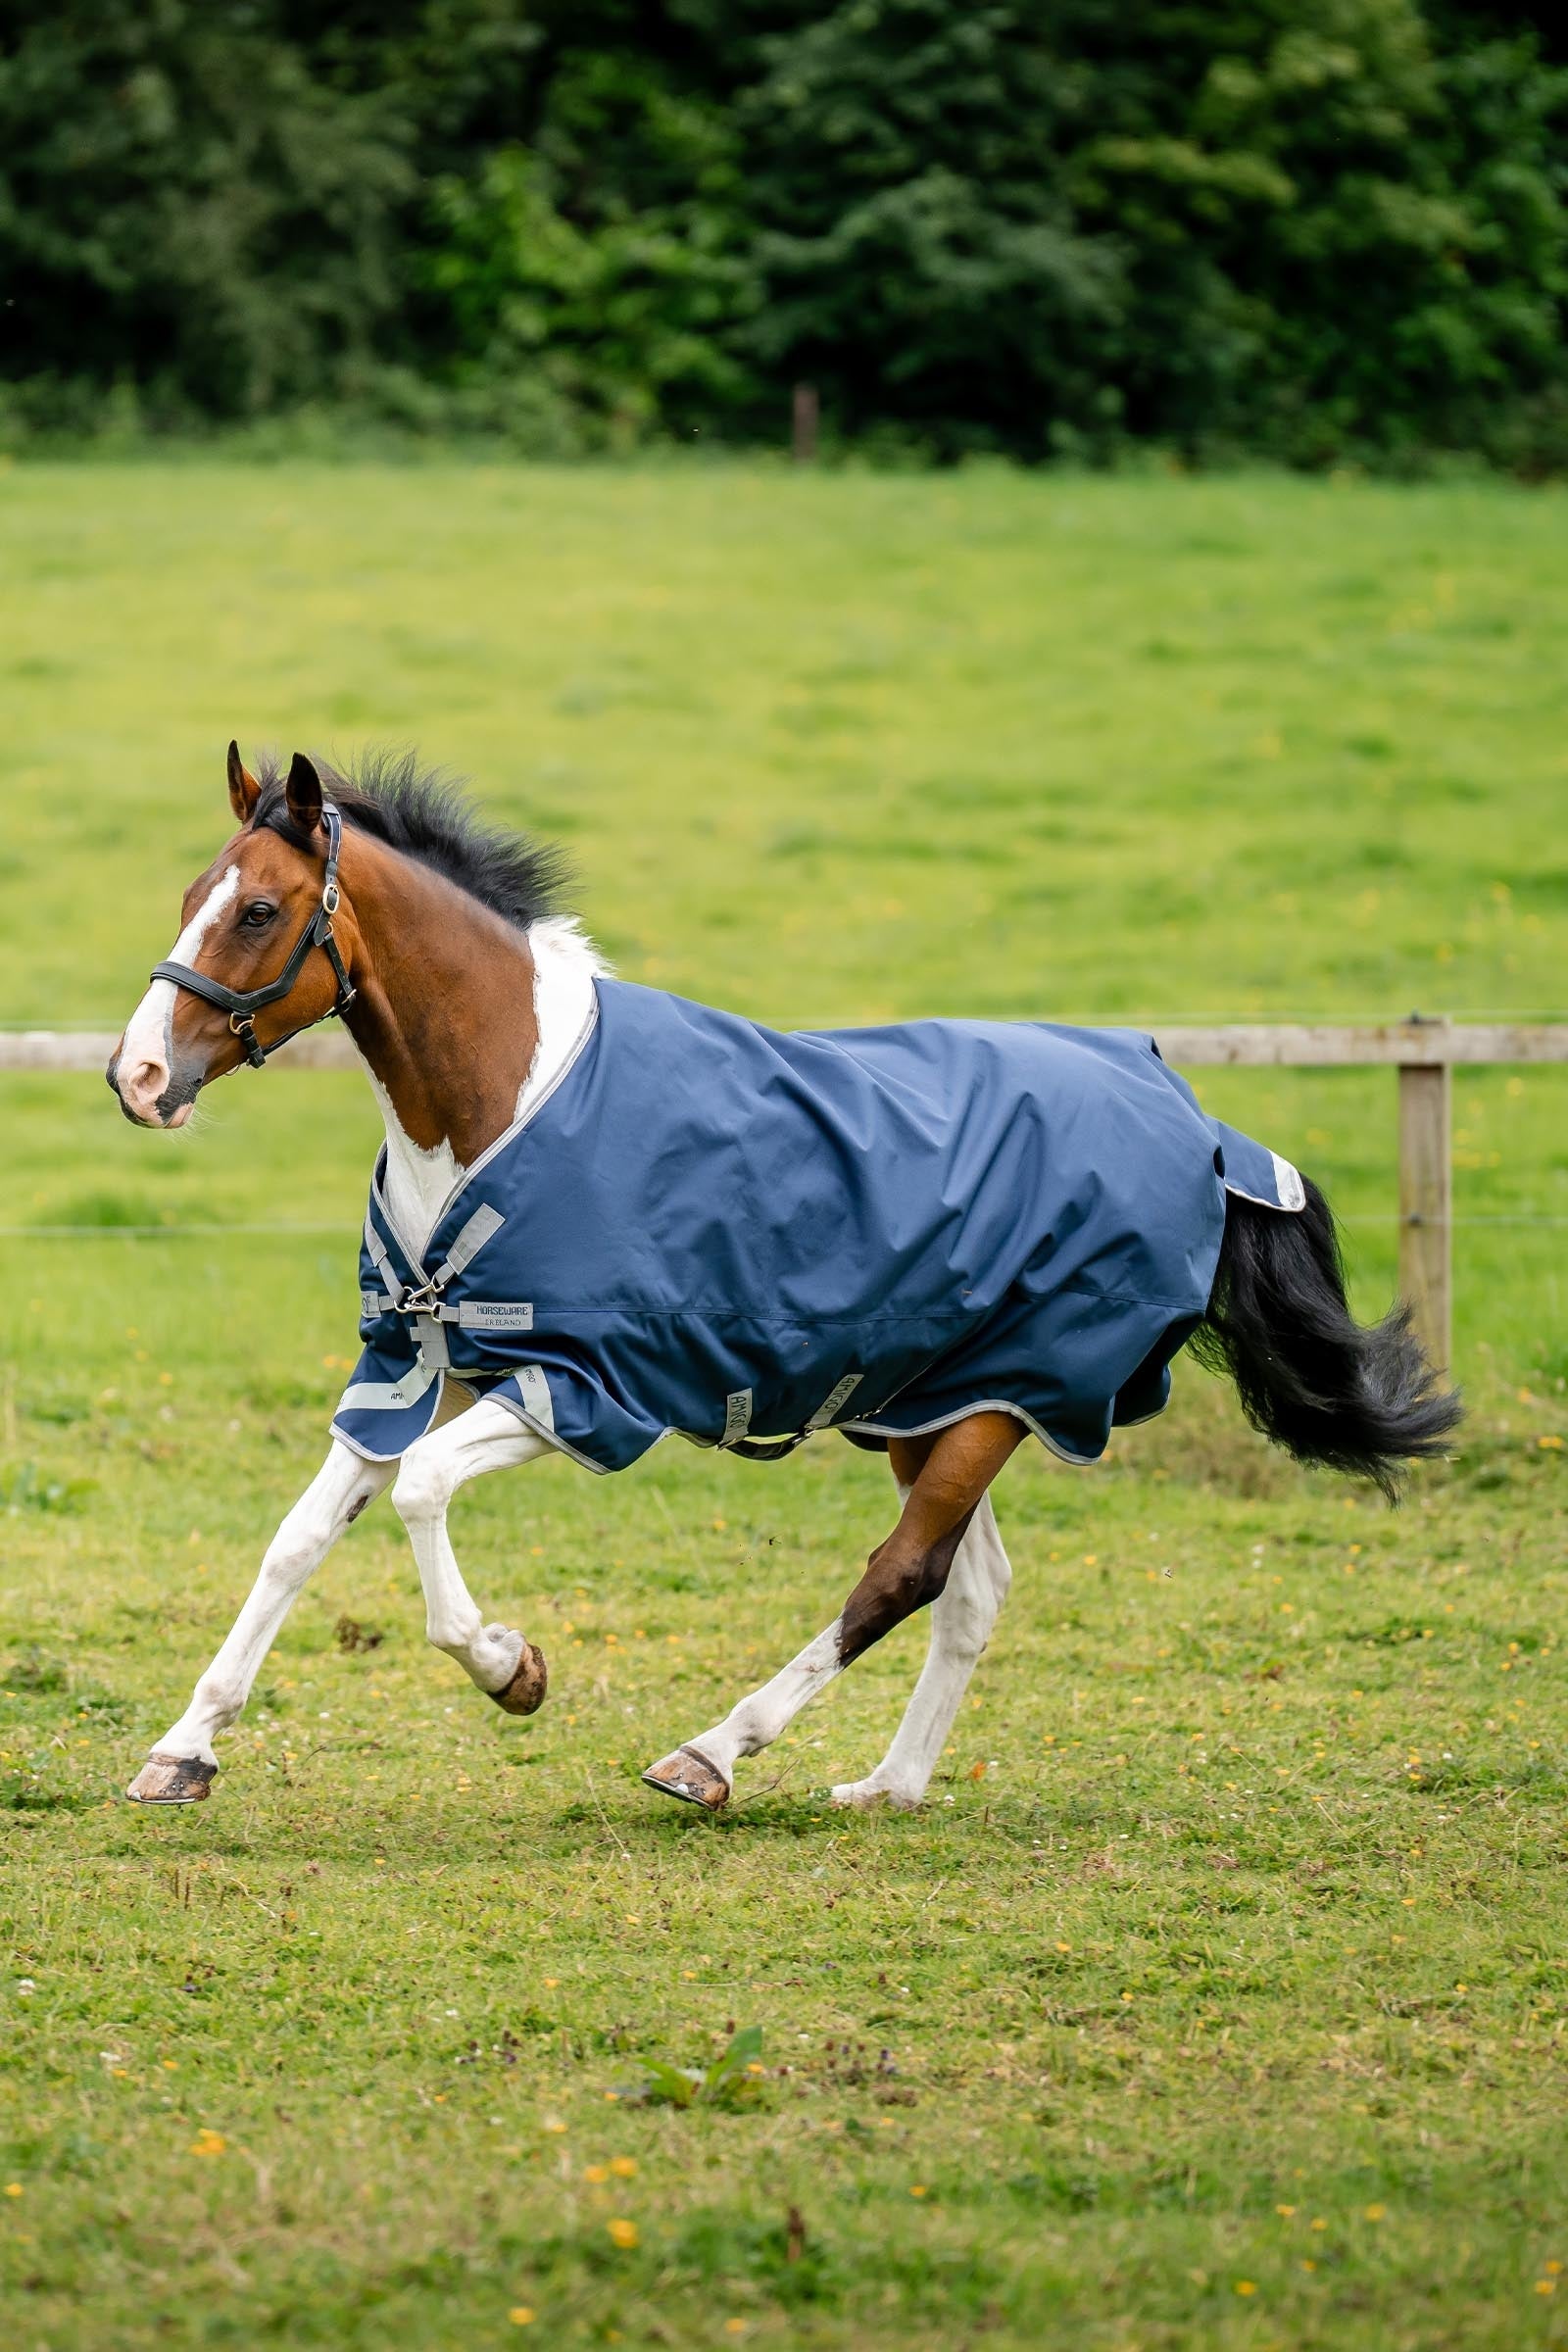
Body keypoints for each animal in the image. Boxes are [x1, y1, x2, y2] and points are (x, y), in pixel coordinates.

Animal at [109, 746, 1461, 1814]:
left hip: (1011, 1398)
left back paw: (711, 1754)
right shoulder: (410, 1360)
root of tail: (1204, 1128)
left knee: (902, 1576)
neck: (502, 1096)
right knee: (969, 1589)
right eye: (185, 898)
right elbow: (297, 1539)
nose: (137, 1077)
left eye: (258, 911)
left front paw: (511, 1670)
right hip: (941, 1403)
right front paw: (182, 1753)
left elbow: (423, 1494)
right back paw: (887, 1786)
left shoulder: (583, 1387)